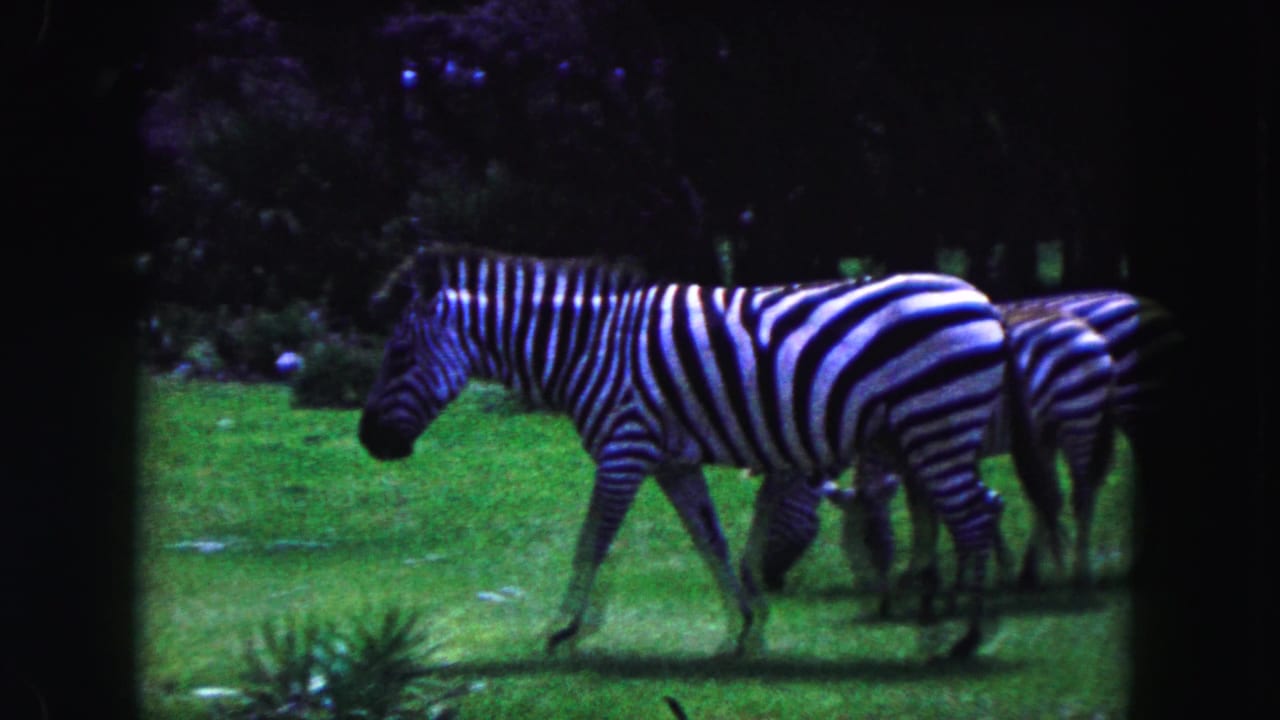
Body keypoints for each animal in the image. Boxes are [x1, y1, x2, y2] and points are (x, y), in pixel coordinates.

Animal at [358, 246, 1011, 658]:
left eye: (400, 356)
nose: (368, 441)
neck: (585, 349)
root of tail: (981, 299)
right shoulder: (672, 460)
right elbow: (708, 539)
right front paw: (745, 629)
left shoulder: (624, 447)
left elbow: (593, 540)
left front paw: (565, 629)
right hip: (933, 433)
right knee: (980, 507)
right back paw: (965, 622)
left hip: (936, 425)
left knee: (973, 516)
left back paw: (966, 638)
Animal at [761, 290, 1180, 605]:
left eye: (774, 512)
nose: (770, 584)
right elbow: (946, 508)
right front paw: (978, 567)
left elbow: (929, 513)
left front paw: (928, 574)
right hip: (1060, 428)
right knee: (1054, 494)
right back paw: (1035, 573)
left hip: (1116, 411)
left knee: (1086, 493)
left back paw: (1085, 573)